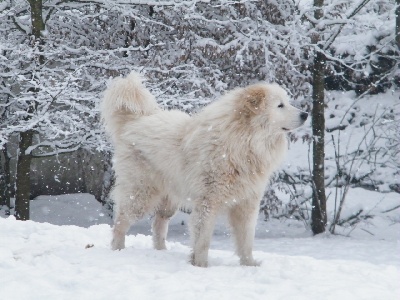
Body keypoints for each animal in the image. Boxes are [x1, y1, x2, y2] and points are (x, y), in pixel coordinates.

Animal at [100, 71, 306, 268]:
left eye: (287, 102)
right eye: (280, 105)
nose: (305, 114)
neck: (243, 142)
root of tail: (134, 121)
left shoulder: (246, 204)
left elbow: (246, 240)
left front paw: (249, 265)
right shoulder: (208, 202)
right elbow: (203, 240)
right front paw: (200, 265)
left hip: (169, 201)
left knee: (158, 224)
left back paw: (161, 252)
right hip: (140, 195)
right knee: (120, 222)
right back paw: (118, 249)